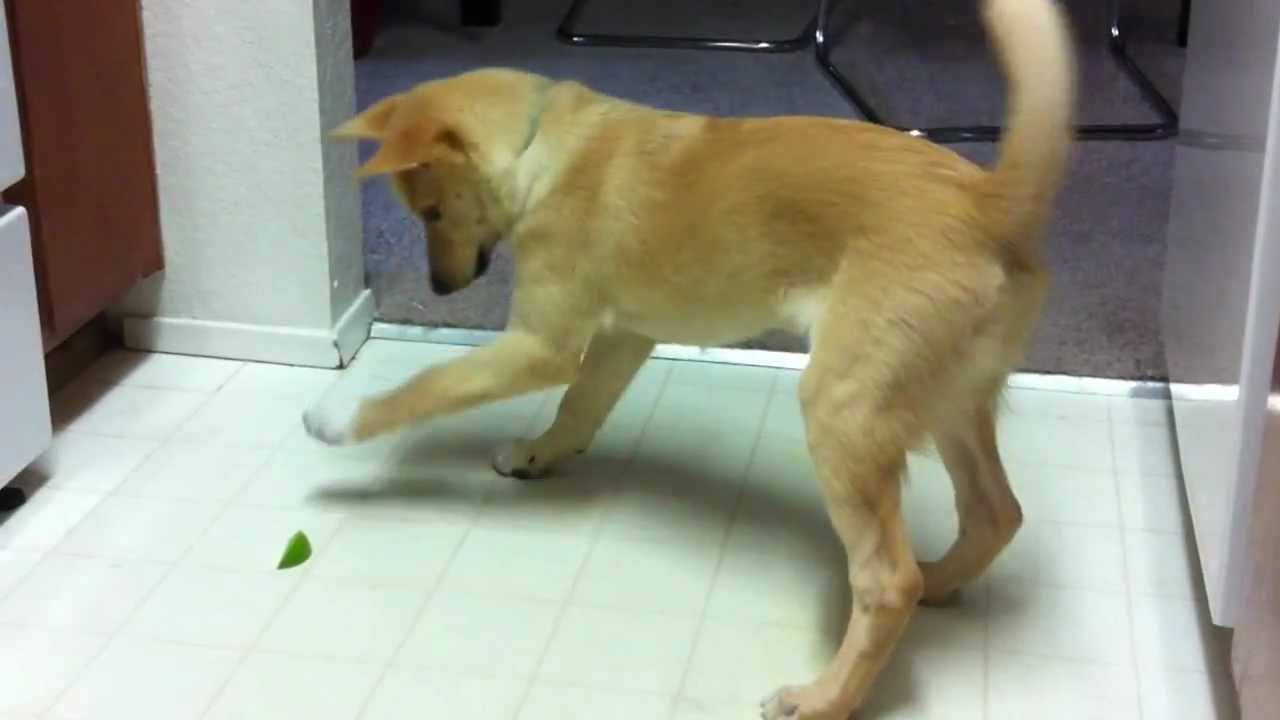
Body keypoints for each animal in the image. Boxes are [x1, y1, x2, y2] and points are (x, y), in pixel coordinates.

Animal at [303, 0, 1075, 716]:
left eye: (431, 212)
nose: (440, 290)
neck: (542, 145)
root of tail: (990, 204)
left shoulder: (540, 347)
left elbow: (428, 385)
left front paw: (341, 419)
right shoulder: (624, 337)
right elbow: (578, 408)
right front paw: (539, 455)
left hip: (846, 411)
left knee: (889, 582)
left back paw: (825, 696)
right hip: (949, 399)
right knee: (995, 513)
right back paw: (941, 581)